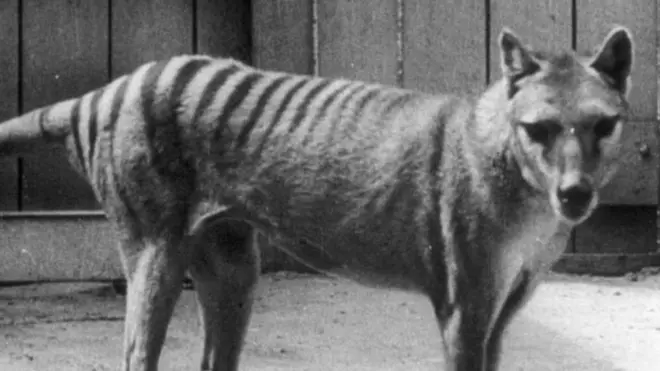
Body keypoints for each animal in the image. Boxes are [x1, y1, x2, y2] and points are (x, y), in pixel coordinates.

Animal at [0, 24, 636, 370]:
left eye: (603, 125)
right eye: (539, 128)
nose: (575, 194)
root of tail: (107, 91)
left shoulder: (499, 316)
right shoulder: (465, 311)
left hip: (232, 268)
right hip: (156, 253)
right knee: (137, 355)